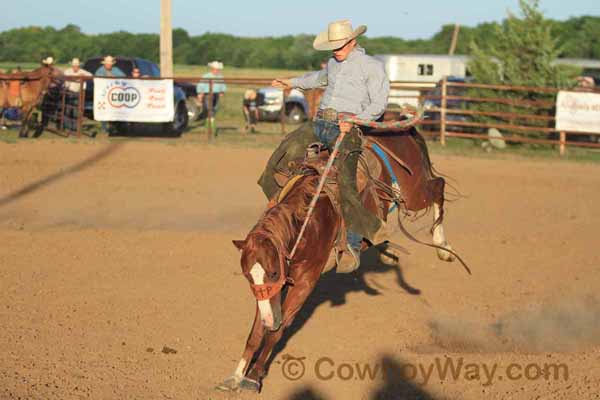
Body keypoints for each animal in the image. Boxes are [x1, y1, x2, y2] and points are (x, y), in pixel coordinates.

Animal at [218, 111, 472, 392]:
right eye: (247, 276)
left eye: (273, 272)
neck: (307, 220)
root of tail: (397, 120)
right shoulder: (271, 287)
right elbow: (257, 330)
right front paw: (236, 375)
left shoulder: (305, 280)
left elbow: (278, 328)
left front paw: (254, 377)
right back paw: (387, 248)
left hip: (414, 191)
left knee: (438, 186)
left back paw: (444, 247)